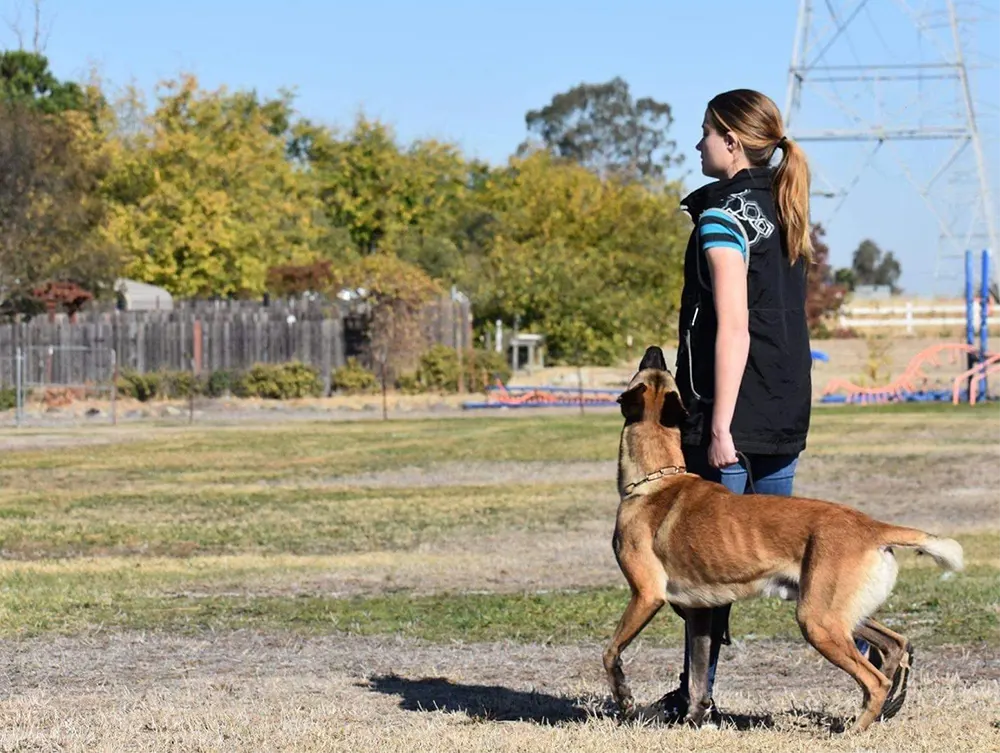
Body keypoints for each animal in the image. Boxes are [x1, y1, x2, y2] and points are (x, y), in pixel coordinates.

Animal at [604, 348, 964, 736]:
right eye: (660, 369)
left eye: (650, 369)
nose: (655, 350)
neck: (656, 480)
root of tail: (871, 526)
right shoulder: (700, 612)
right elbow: (699, 679)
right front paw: (694, 721)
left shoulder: (646, 595)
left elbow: (610, 653)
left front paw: (625, 698)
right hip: (830, 610)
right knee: (895, 644)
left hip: (817, 620)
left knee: (875, 680)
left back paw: (855, 729)